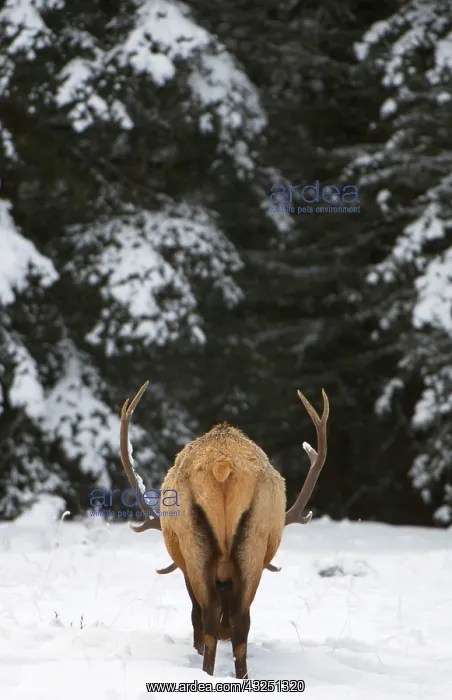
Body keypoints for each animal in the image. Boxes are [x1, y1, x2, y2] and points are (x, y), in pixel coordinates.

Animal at [119, 381, 329, 679]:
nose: (224, 632)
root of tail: (223, 466)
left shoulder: (186, 566)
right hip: (252, 542)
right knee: (238, 619)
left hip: (197, 544)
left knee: (209, 616)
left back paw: (209, 670)